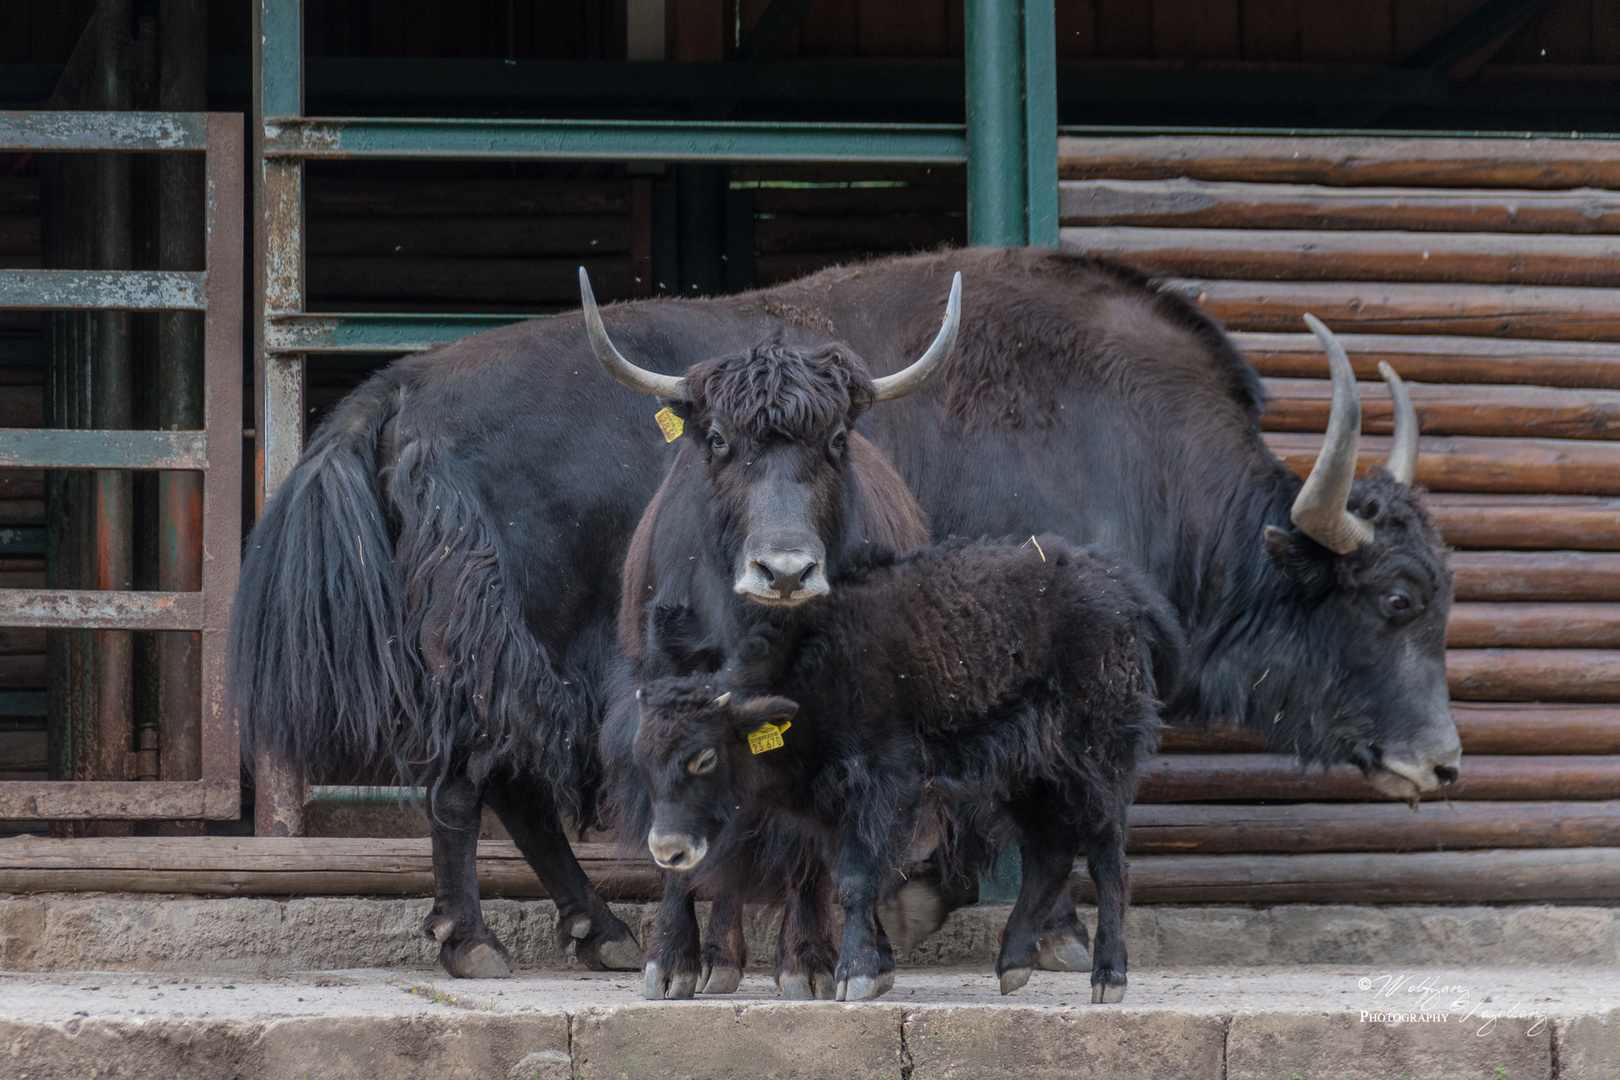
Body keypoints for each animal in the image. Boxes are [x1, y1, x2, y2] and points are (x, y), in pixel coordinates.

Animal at [631, 540, 1179, 1003]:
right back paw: (1012, 966)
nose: (668, 849)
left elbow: (857, 879)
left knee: (1107, 856)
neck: (814, 671)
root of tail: (1121, 587)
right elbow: (851, 875)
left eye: (704, 757)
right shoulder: (833, 808)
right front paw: (880, 967)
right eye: (642, 758)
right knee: (1050, 853)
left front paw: (855, 976)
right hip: (1030, 777)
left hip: (1097, 764)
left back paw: (1108, 978)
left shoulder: (881, 787)